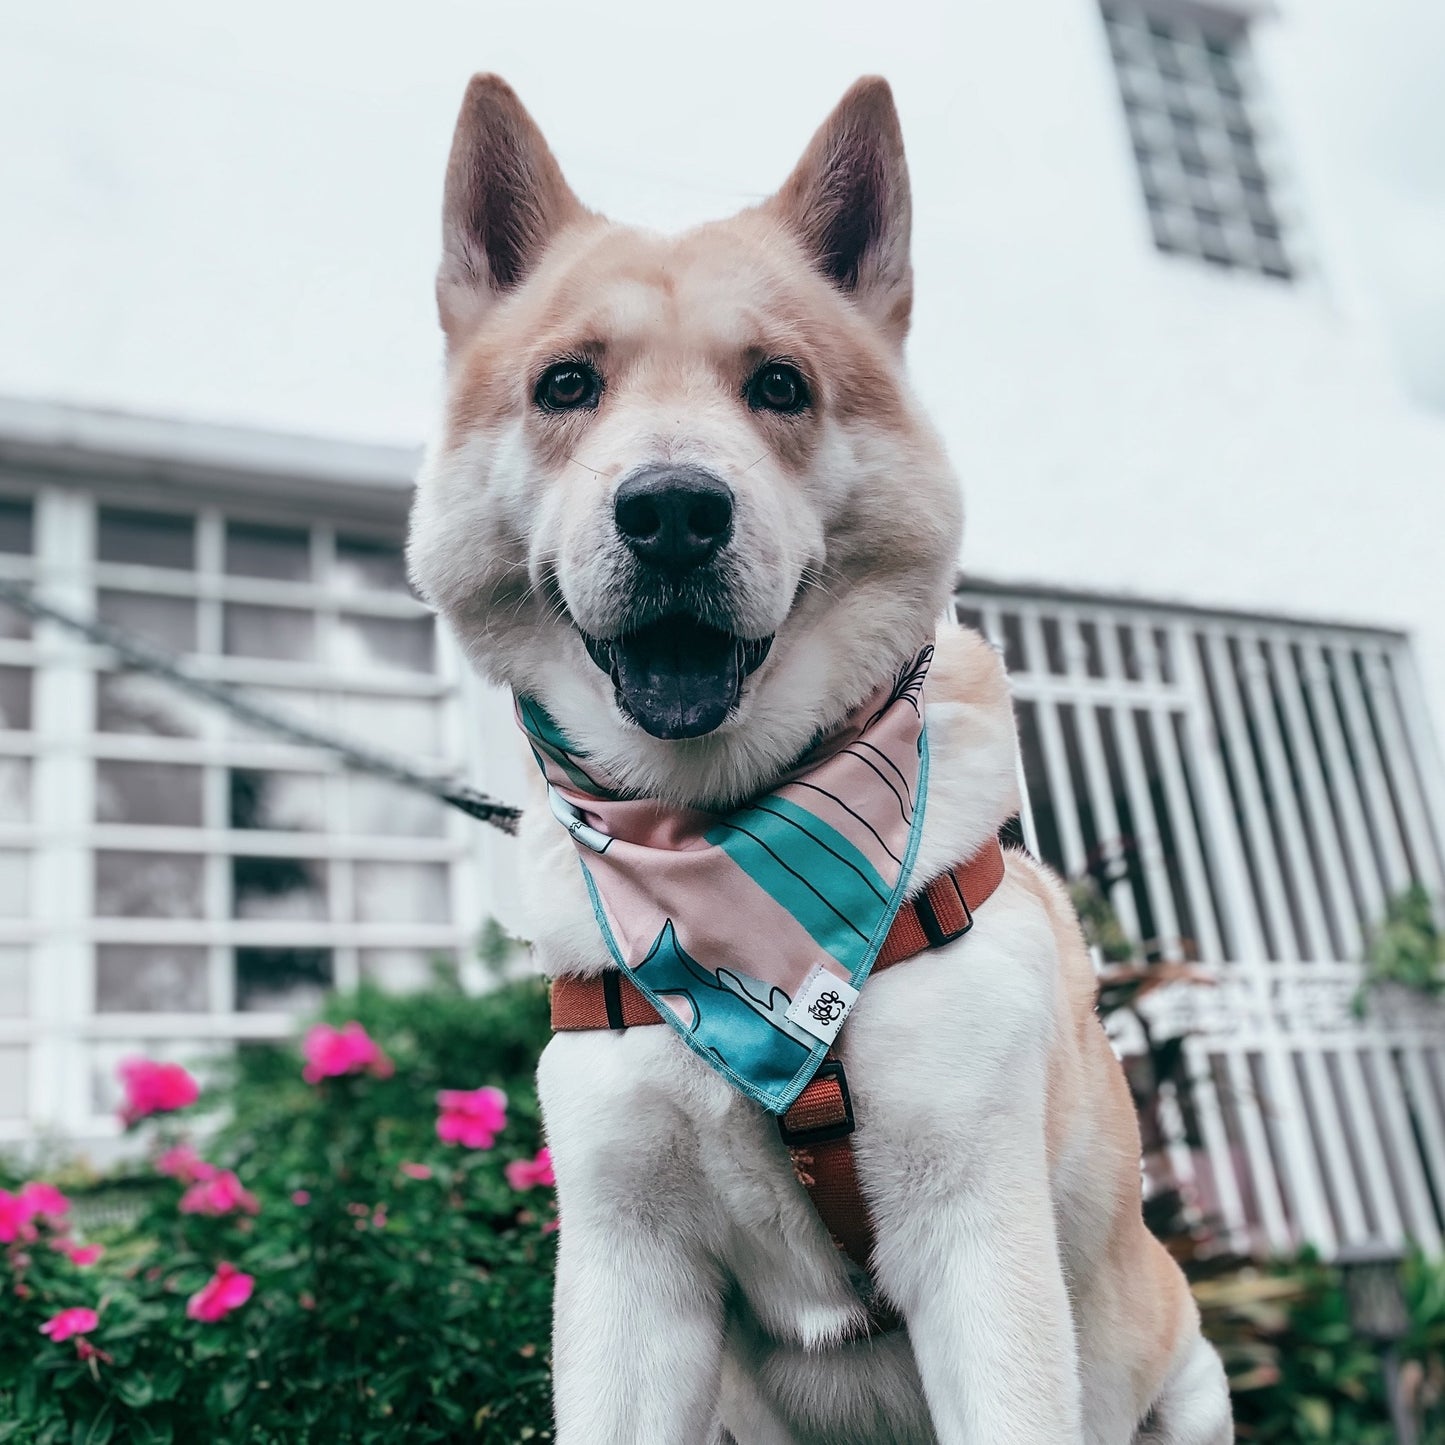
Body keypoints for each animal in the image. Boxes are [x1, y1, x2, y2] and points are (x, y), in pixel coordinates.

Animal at [407, 73, 1231, 1445]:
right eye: (566, 383)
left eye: (780, 385)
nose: (672, 512)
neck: (716, 843)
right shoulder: (627, 1264)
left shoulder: (977, 1237)